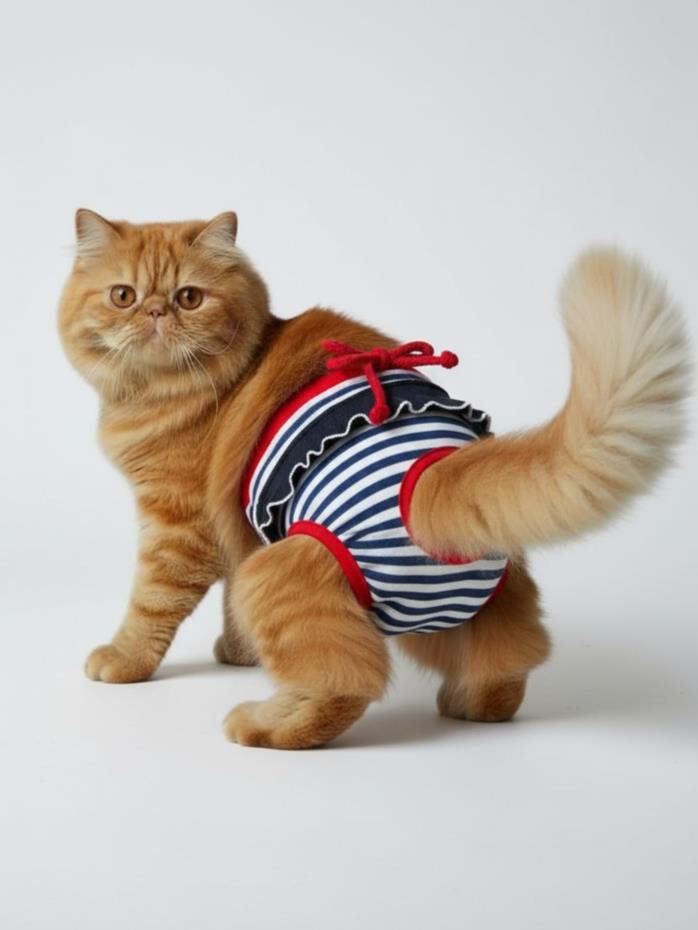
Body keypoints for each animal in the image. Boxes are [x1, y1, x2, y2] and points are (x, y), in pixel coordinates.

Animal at [58, 209, 689, 749]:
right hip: (486, 600)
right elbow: (228, 607)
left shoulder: (182, 528)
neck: (158, 393)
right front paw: (239, 654)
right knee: (509, 664)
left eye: (189, 297)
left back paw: (261, 724)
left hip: (284, 571)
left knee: (344, 683)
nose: (155, 313)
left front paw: (124, 660)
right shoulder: (238, 532)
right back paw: (468, 706)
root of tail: (433, 475)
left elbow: (151, 605)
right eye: (123, 296)